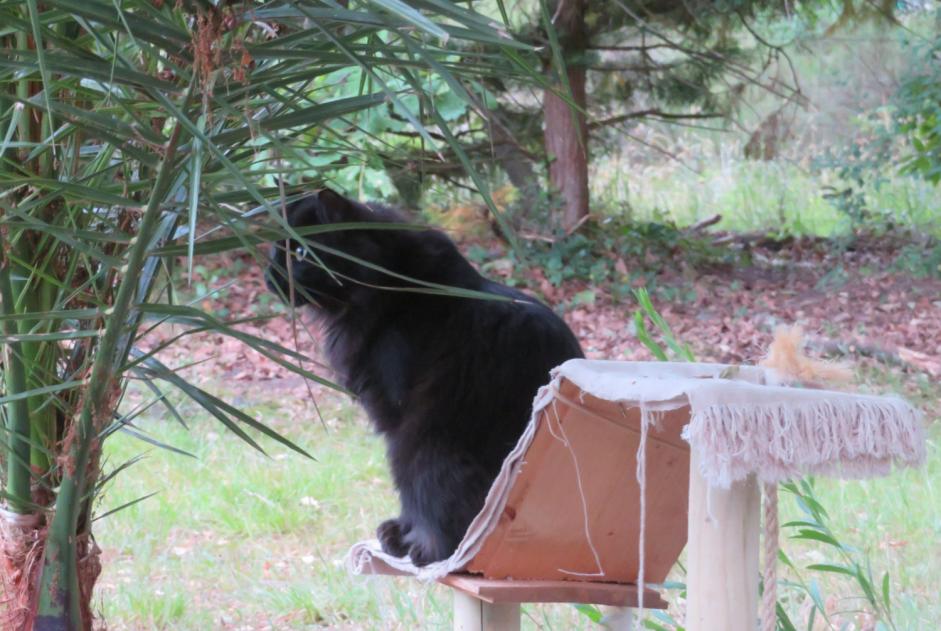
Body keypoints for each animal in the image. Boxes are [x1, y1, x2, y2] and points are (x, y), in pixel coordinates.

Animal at [260, 189, 580, 568]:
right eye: (276, 249)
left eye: (300, 253)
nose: (268, 274)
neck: (391, 288)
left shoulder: (398, 420)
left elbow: (409, 493)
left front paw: (407, 539)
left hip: (428, 446)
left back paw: (428, 548)